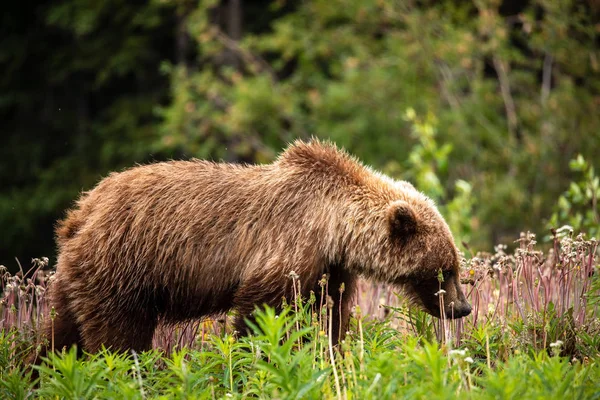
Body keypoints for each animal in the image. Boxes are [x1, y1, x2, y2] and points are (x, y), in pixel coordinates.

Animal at [44, 139, 472, 354]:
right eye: (445, 270)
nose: (463, 308)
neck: (335, 228)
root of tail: (81, 211)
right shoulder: (290, 246)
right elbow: (263, 312)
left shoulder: (330, 268)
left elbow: (330, 315)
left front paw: (329, 352)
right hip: (122, 266)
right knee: (117, 334)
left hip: (79, 275)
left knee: (62, 331)